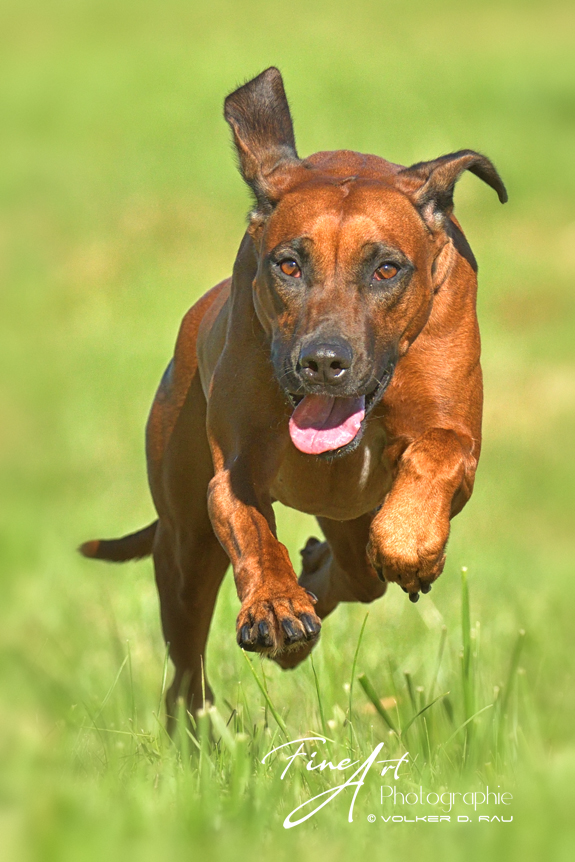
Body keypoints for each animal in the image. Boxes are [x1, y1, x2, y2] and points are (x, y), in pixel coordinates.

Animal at [80, 67, 504, 728]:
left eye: (387, 269)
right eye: (288, 265)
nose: (323, 363)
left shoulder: (455, 433)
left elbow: (438, 452)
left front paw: (411, 545)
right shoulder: (234, 469)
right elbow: (250, 526)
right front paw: (276, 604)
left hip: (347, 518)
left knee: (359, 574)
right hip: (184, 548)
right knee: (186, 666)